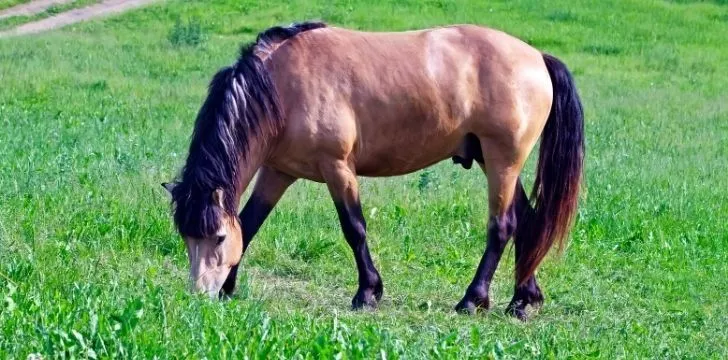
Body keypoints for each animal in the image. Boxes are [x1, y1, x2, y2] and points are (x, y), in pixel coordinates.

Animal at [162, 21, 584, 320]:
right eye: (187, 236)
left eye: (217, 237)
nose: (199, 296)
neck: (282, 84)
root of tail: (537, 57)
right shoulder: (277, 172)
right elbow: (249, 225)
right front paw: (229, 288)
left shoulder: (338, 168)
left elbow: (354, 229)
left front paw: (367, 293)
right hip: (494, 161)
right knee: (528, 221)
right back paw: (523, 301)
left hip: (502, 162)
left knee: (503, 227)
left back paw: (472, 300)